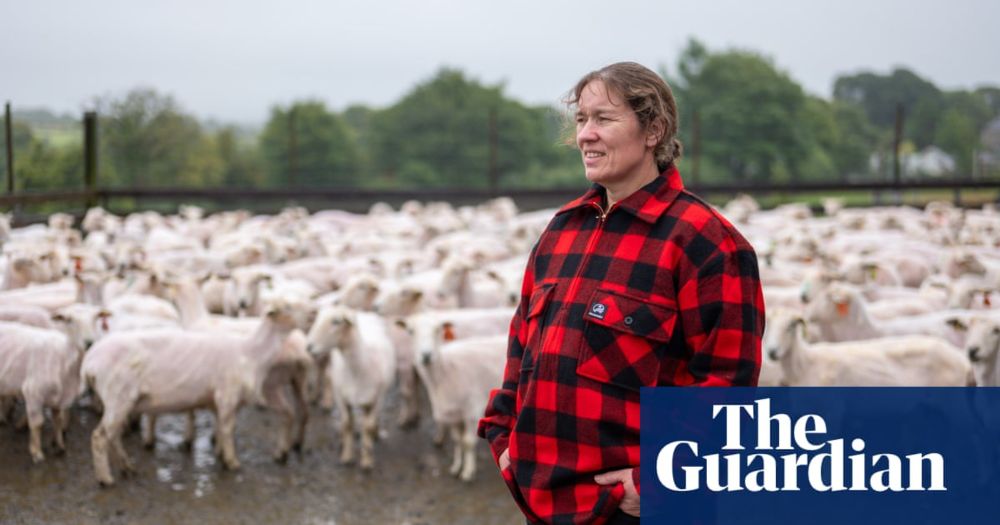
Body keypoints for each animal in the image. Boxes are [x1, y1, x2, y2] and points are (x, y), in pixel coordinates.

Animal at [81, 296, 308, 486]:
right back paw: (106, 479)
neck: (251, 353)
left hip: (122, 401)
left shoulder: (217, 400)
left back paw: (127, 467)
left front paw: (221, 456)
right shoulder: (227, 395)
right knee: (99, 437)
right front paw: (233, 463)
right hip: (117, 395)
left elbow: (220, 427)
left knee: (113, 435)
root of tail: (90, 361)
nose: (313, 311)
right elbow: (228, 429)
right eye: (288, 307)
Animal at [304, 304, 394, 468]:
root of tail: (363, 313)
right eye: (317, 318)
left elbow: (368, 426)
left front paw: (366, 461)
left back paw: (375, 434)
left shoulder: (377, 399)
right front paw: (347, 456)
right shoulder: (341, 397)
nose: (309, 346)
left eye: (336, 321)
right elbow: (347, 424)